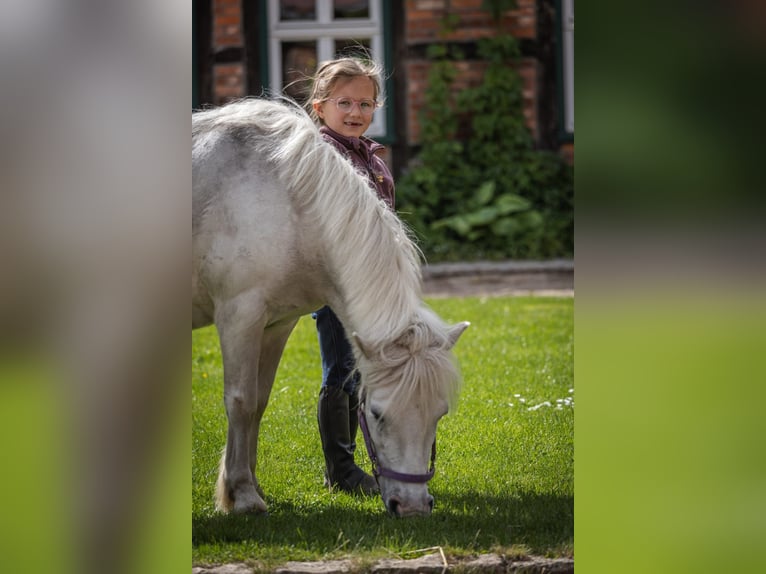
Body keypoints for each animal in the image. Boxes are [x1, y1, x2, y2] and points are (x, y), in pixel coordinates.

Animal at [192, 98, 469, 517]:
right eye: (377, 414)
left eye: (439, 413)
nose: (413, 507)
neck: (288, 201)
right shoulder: (239, 316)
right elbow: (240, 401)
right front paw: (242, 495)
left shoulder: (277, 324)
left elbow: (259, 401)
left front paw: (251, 485)